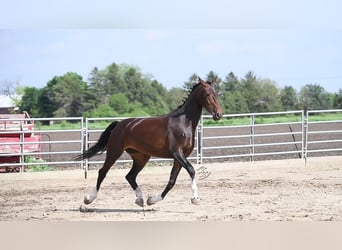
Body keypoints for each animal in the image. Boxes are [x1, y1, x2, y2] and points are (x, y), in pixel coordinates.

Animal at [75, 77, 222, 207]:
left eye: (217, 93)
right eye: (208, 94)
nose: (219, 114)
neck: (183, 122)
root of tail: (120, 124)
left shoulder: (181, 157)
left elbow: (172, 180)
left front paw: (152, 200)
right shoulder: (177, 153)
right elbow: (191, 170)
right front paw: (195, 198)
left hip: (141, 157)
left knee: (130, 176)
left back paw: (140, 200)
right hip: (114, 152)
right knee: (103, 172)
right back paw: (89, 199)